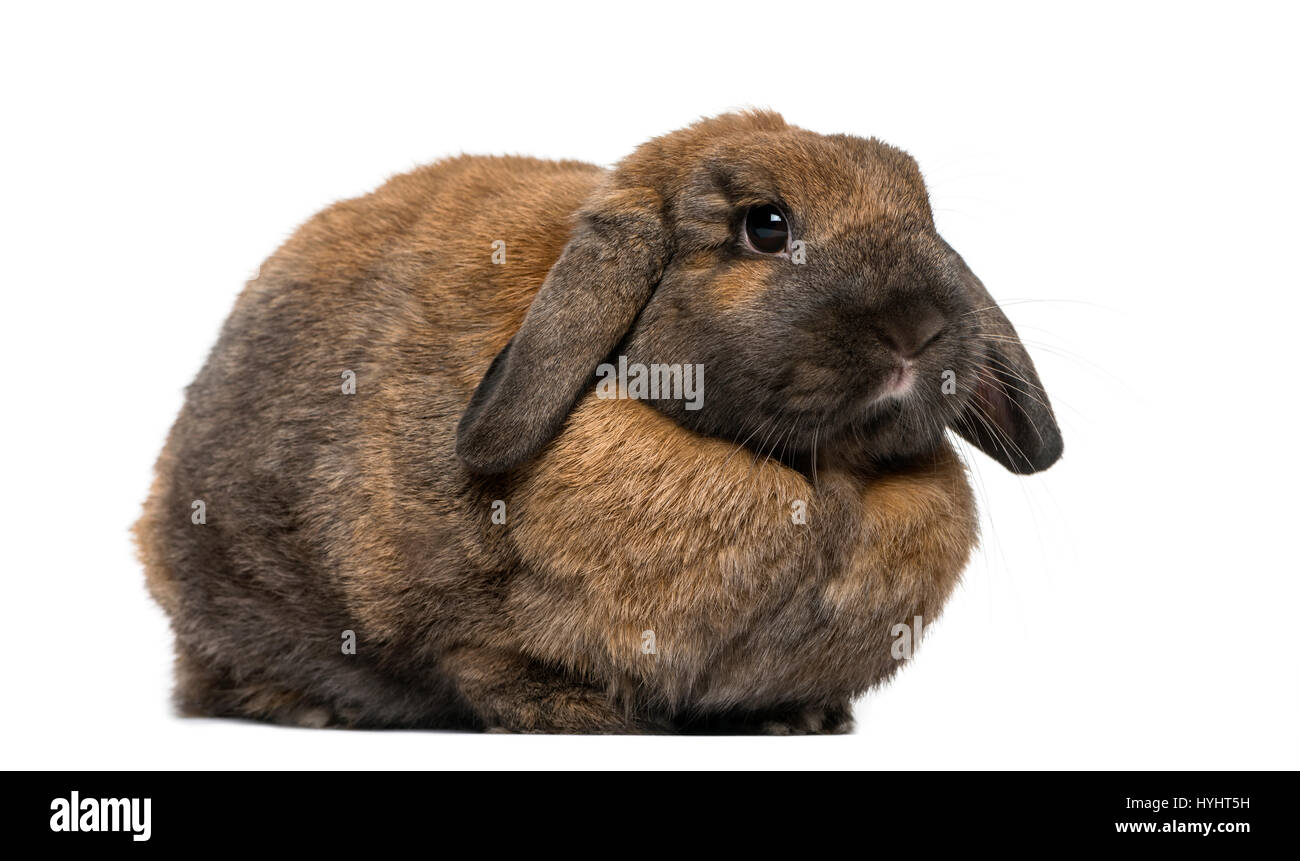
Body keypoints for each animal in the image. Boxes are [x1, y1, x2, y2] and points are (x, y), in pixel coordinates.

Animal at [137, 109, 1060, 733]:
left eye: (926, 217)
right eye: (766, 224)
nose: (919, 326)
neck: (819, 480)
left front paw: (801, 718)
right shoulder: (444, 618)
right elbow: (478, 658)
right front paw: (577, 711)